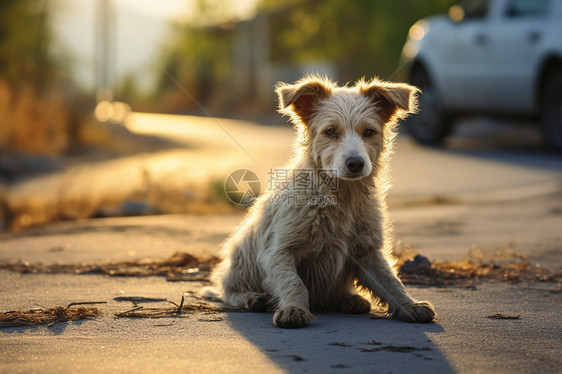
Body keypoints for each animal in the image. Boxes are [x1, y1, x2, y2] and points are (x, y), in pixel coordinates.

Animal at [208, 75, 436, 328]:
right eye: (330, 131)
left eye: (369, 131)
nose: (355, 163)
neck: (341, 196)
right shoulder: (279, 251)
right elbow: (294, 283)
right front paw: (294, 309)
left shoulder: (368, 252)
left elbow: (390, 281)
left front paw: (410, 305)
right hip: (240, 259)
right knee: (228, 291)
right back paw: (252, 298)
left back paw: (350, 299)